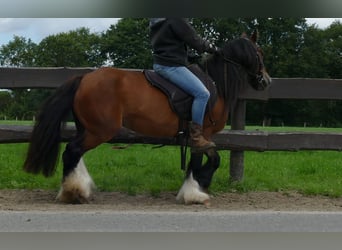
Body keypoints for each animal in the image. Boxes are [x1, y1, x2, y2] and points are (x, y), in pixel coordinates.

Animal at [22, 30, 272, 205]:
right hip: (99, 131)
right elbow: (208, 161)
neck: (215, 83)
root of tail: (84, 79)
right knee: (72, 151)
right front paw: (196, 192)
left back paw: (79, 188)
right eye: (259, 52)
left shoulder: (200, 137)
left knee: (75, 154)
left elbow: (204, 161)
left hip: (87, 128)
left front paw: (197, 186)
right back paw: (73, 192)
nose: (266, 81)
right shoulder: (203, 134)